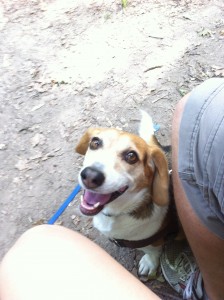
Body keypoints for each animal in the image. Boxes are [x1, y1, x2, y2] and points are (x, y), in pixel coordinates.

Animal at [75, 112, 177, 276]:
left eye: (131, 156)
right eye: (95, 143)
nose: (90, 176)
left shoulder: (154, 241)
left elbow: (153, 252)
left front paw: (150, 262)